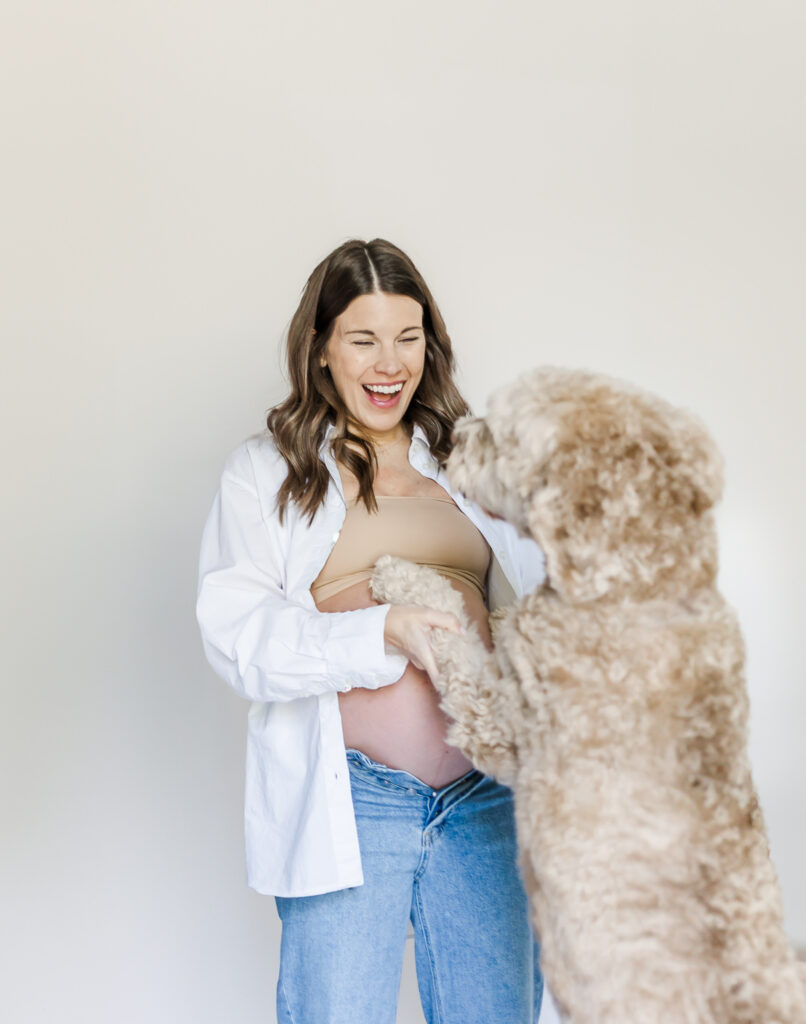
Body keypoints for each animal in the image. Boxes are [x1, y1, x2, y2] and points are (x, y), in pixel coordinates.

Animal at [372, 368, 806, 1024]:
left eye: (504, 434)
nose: (455, 440)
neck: (645, 587)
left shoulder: (504, 723)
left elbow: (453, 633)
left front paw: (399, 575)